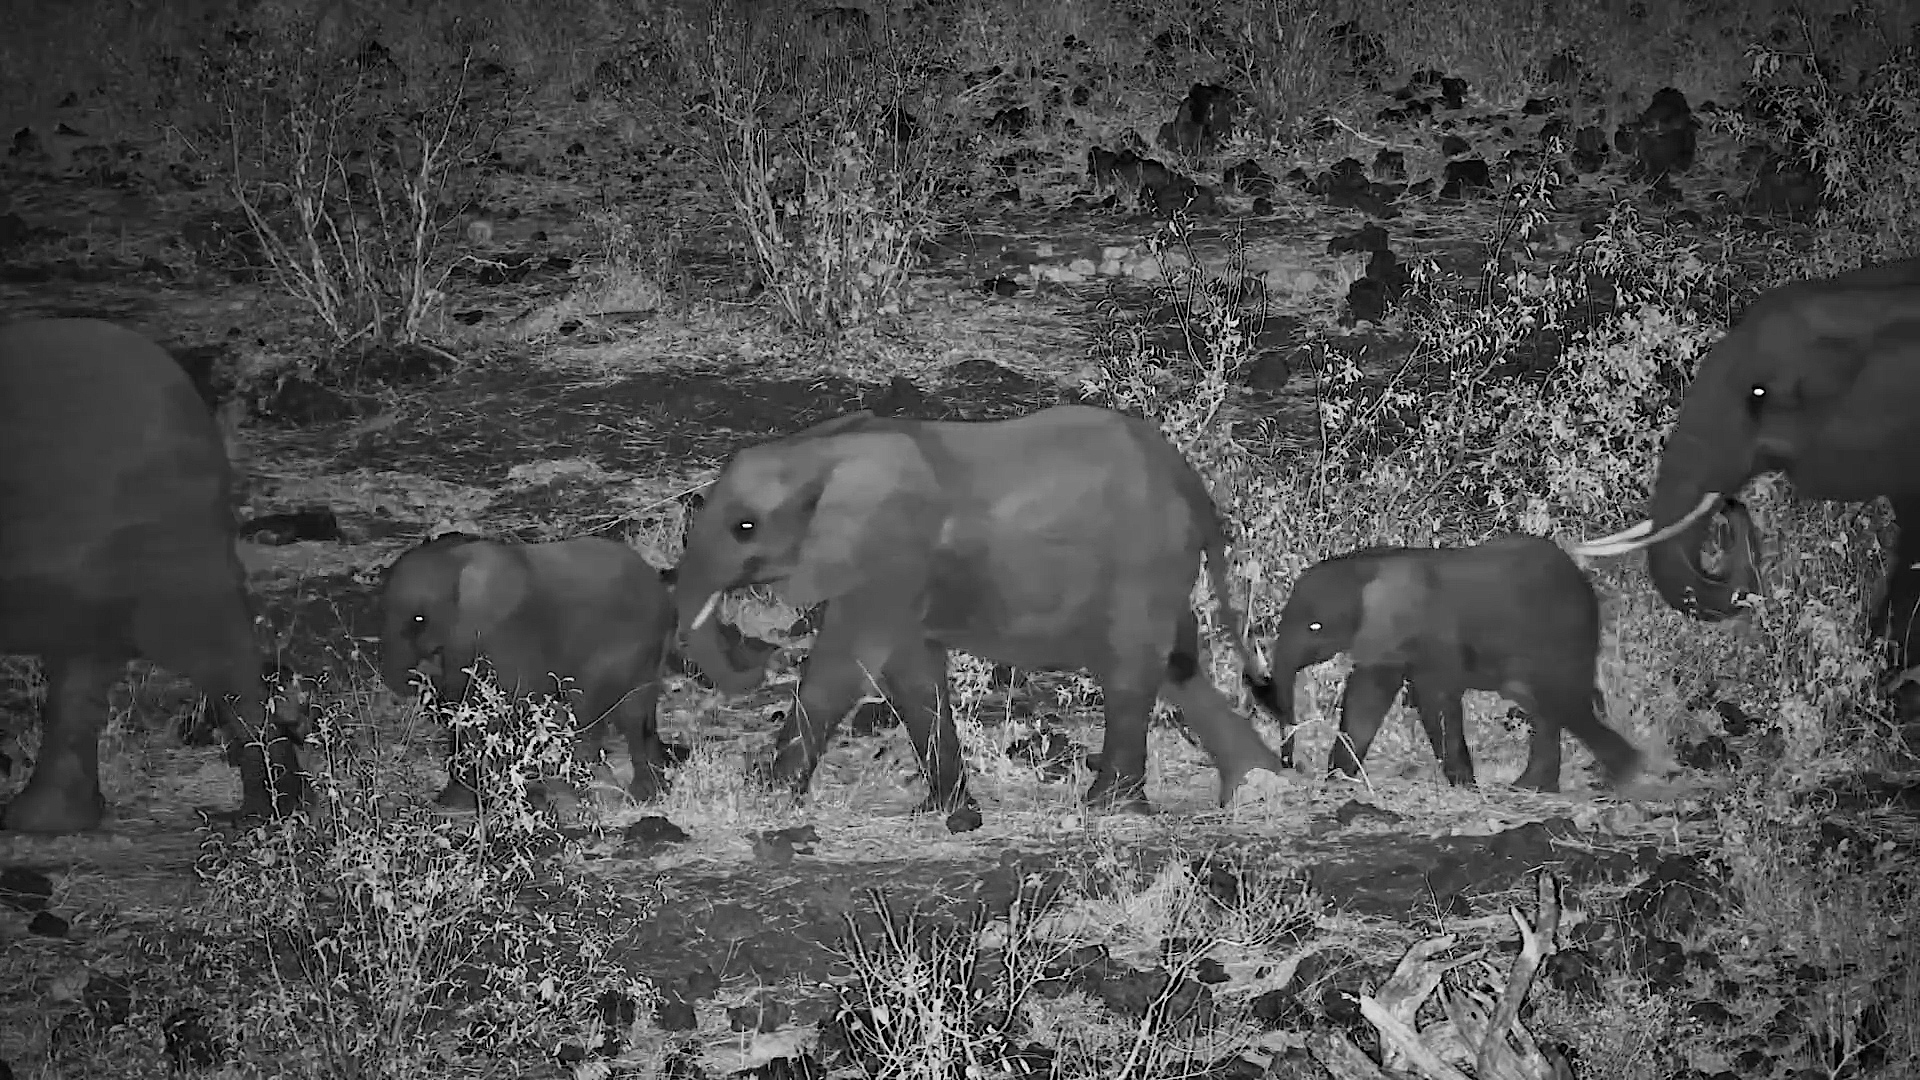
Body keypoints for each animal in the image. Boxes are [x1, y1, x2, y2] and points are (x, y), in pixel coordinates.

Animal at [377, 533, 774, 807]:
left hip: (626, 645)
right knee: (635, 712)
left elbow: (492, 705)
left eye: (418, 619)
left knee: (608, 711)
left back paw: (613, 790)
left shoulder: (503, 633)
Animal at [673, 404, 1289, 827]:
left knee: (1130, 668)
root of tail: (1191, 481)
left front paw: (763, 798)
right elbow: (910, 675)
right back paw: (1256, 785)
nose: (764, 653)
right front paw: (942, 811)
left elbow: (845, 665)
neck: (819, 454)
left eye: (745, 527)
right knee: (1178, 666)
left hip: (1143, 561)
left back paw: (1104, 807)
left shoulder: (889, 555)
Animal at [1246, 534, 1646, 792]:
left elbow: (1434, 698)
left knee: (1562, 702)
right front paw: (1339, 780)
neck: (1371, 565)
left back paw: (1619, 775)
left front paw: (1465, 786)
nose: (1290, 767)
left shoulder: (1428, 635)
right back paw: (1533, 787)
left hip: (1562, 634)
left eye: (1315, 626)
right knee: (1548, 707)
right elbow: (1367, 695)